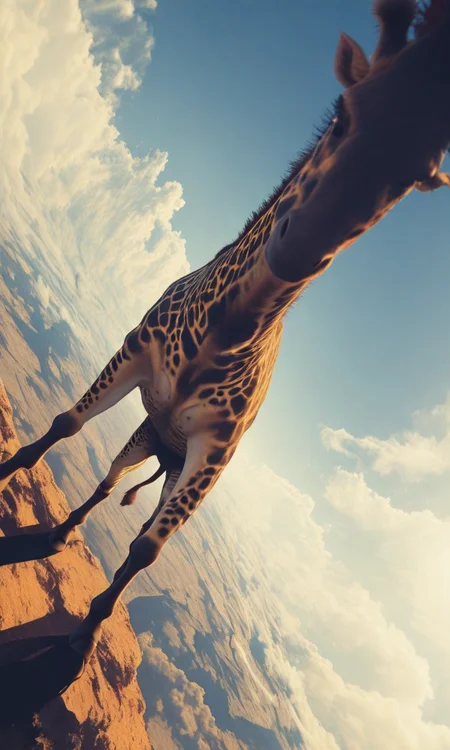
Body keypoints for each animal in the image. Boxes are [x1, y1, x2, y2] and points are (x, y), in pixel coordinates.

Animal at [1, 0, 450, 661]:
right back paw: (58, 534)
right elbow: (65, 425)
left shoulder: (213, 453)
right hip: (143, 438)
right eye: (342, 115)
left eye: (417, 178)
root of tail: (159, 451)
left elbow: (146, 548)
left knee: (135, 510)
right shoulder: (133, 352)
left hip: (172, 467)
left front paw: (82, 640)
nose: (300, 248)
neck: (222, 334)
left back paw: (64, 543)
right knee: (108, 481)